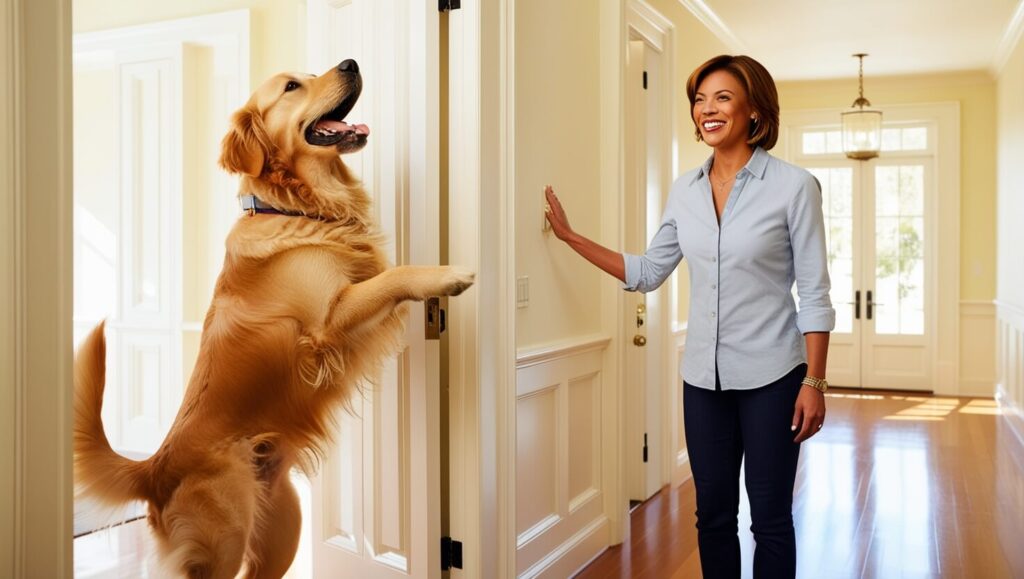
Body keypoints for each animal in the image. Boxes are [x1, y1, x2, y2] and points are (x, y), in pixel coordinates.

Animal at [74, 59, 473, 577]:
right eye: (291, 87)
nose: (351, 63)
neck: (296, 205)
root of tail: (155, 466)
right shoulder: (327, 322)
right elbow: (397, 274)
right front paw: (447, 276)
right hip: (223, 540)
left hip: (285, 524)